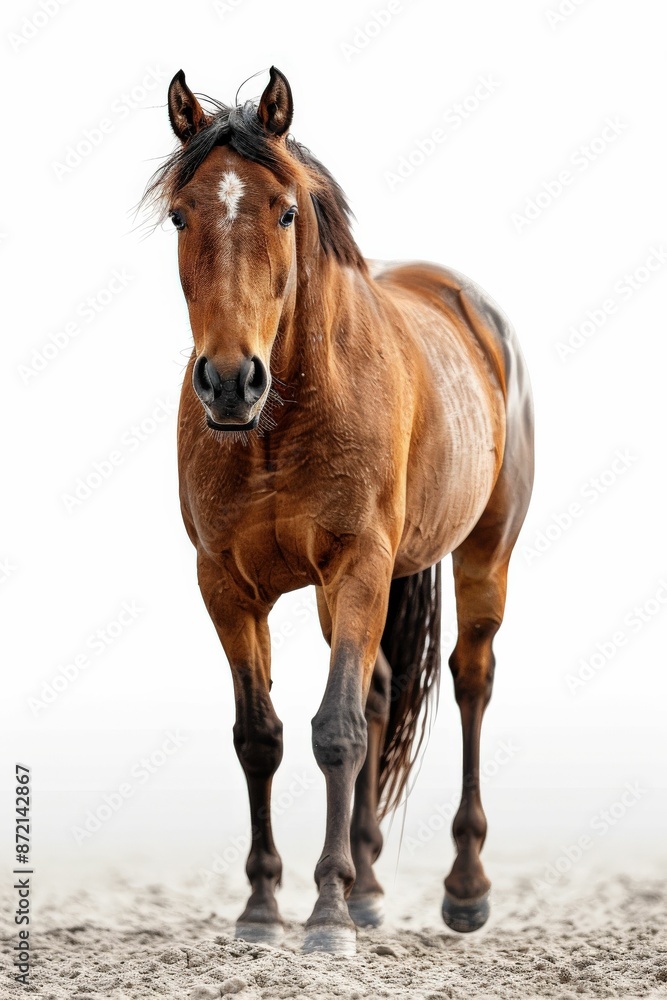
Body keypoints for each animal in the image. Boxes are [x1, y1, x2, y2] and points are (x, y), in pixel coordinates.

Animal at [142, 66, 534, 955]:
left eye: (286, 211)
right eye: (181, 214)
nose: (228, 382)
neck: (279, 422)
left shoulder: (359, 565)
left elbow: (336, 733)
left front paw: (324, 915)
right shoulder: (227, 586)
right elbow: (262, 736)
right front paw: (263, 909)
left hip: (482, 553)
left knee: (470, 680)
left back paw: (463, 891)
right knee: (383, 689)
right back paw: (370, 888)